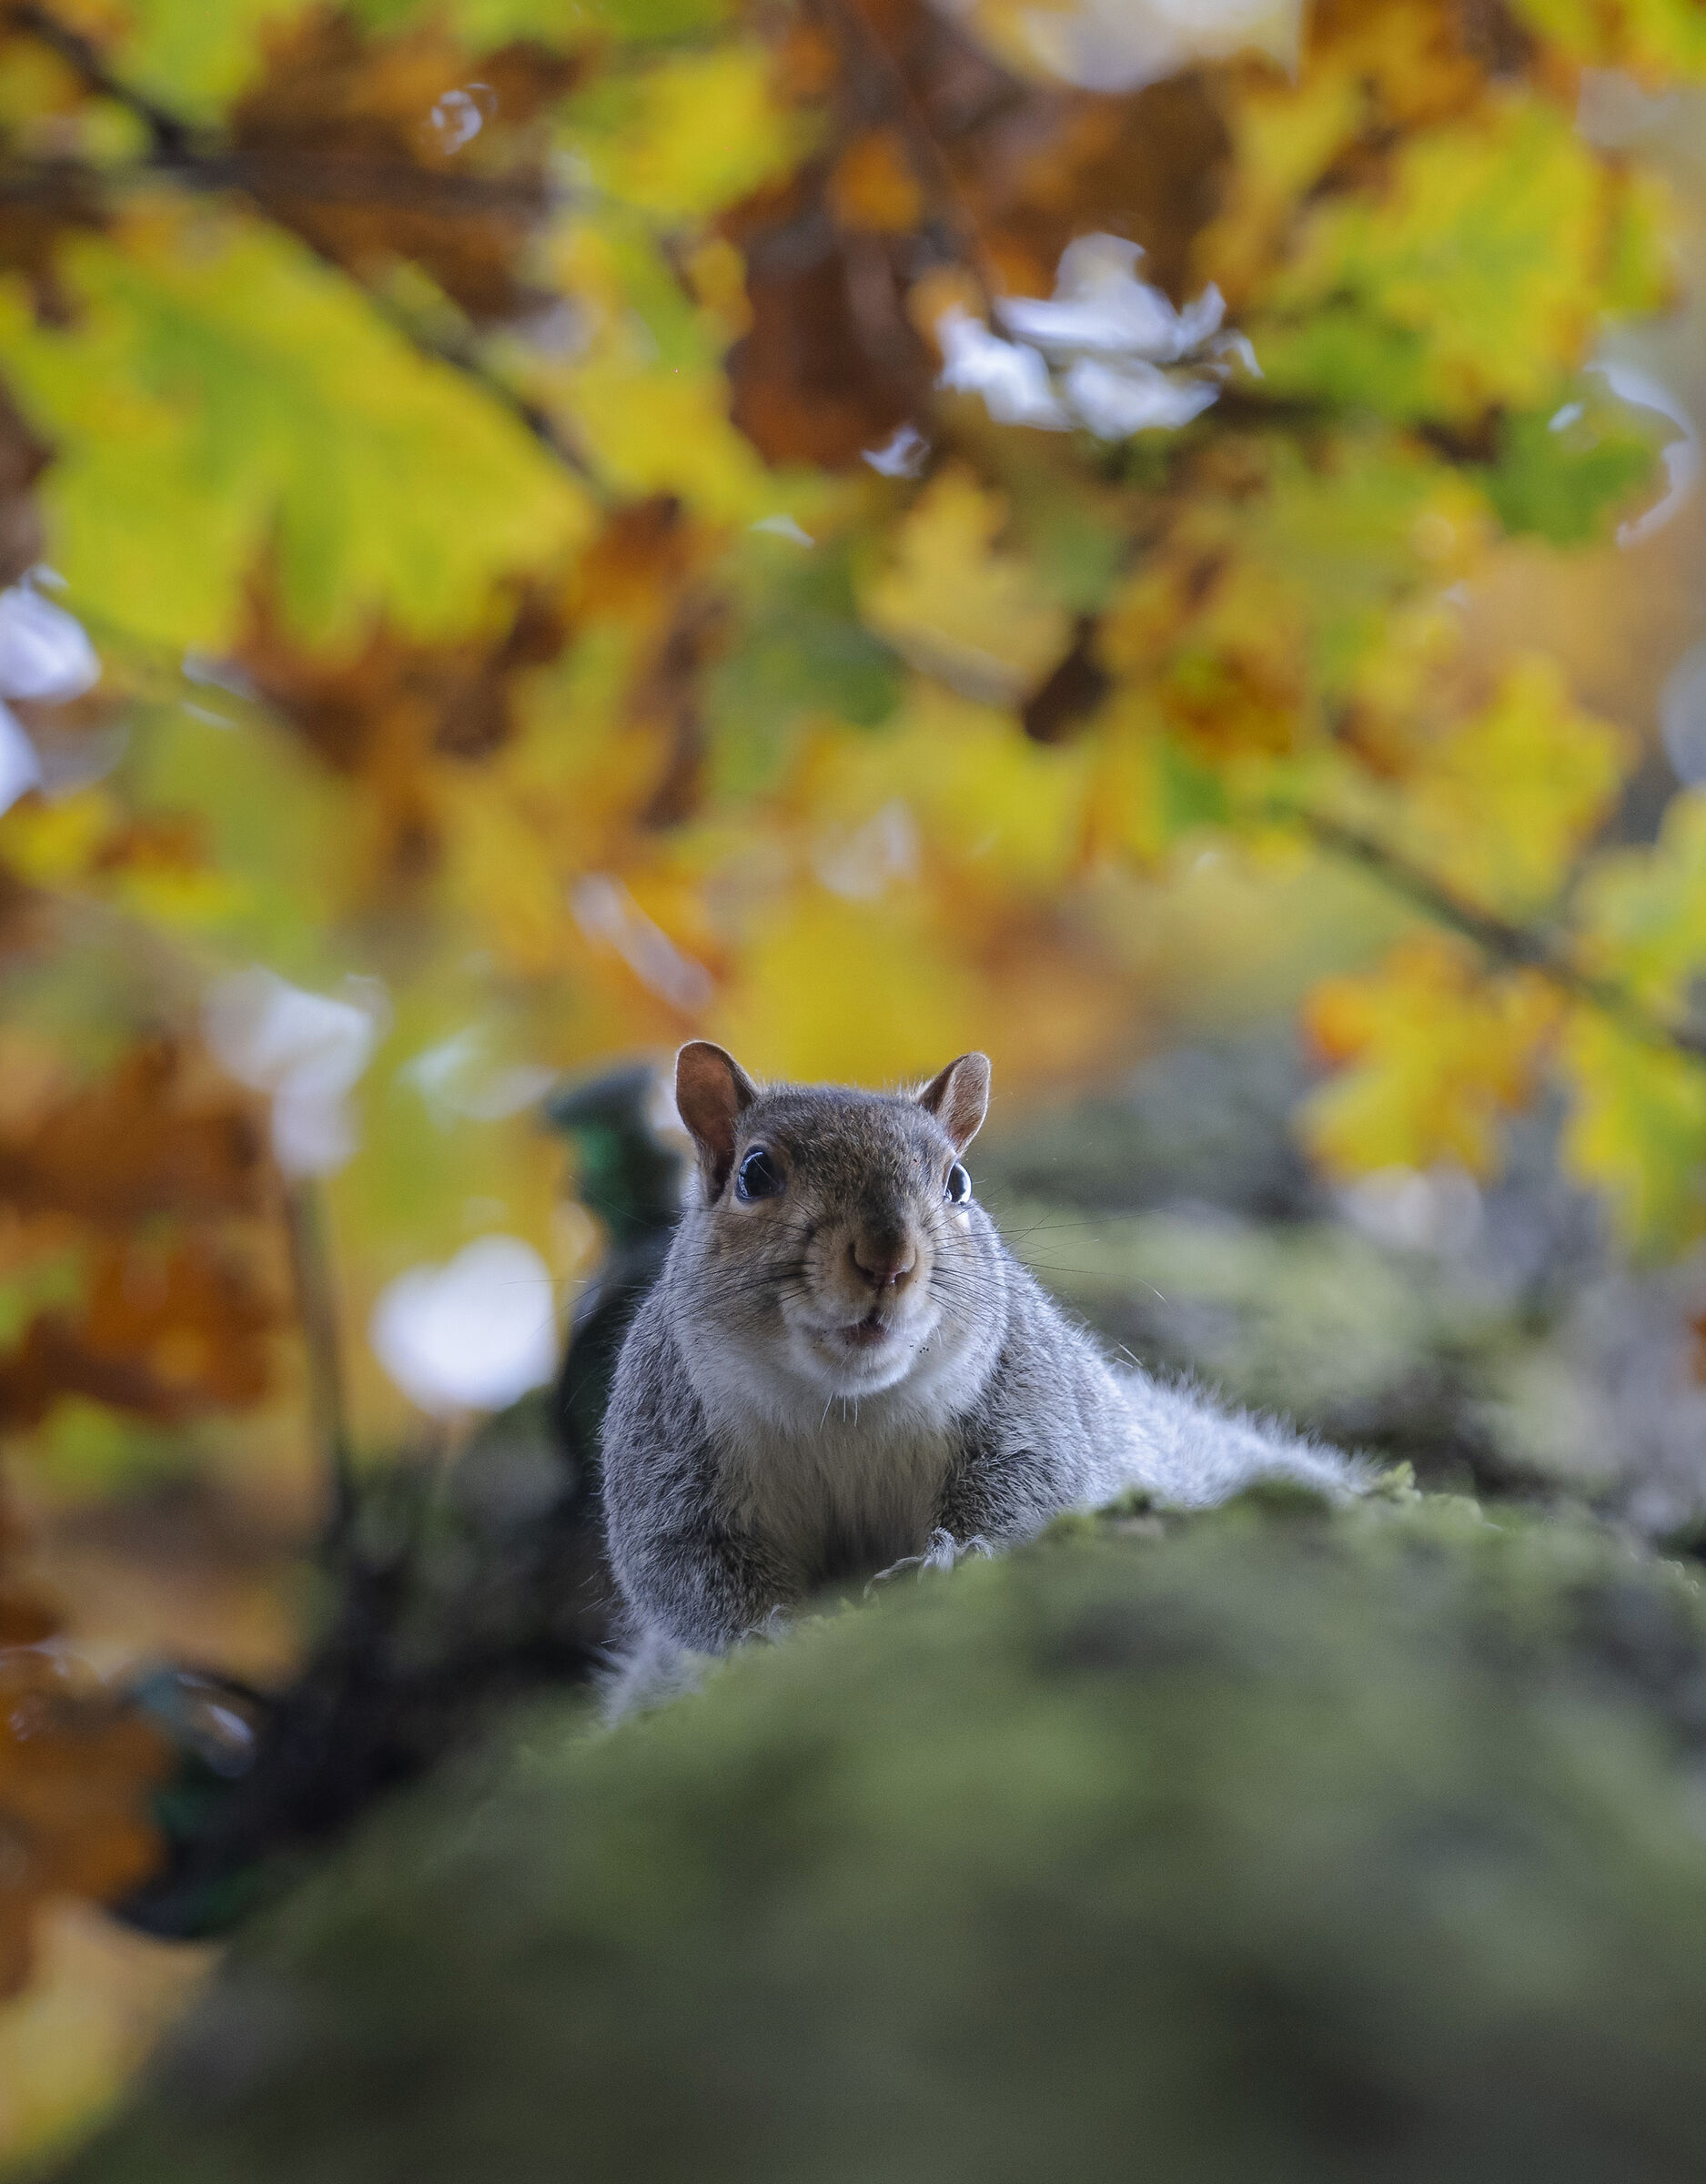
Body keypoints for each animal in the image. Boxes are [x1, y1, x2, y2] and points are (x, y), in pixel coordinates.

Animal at [601, 1042, 1360, 1687]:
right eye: (754, 1174)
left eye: (957, 1182)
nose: (887, 1258)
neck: (844, 1408)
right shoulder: (666, 1452)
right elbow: (682, 1573)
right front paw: (773, 1635)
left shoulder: (1030, 1405)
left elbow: (1032, 1499)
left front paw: (945, 1560)